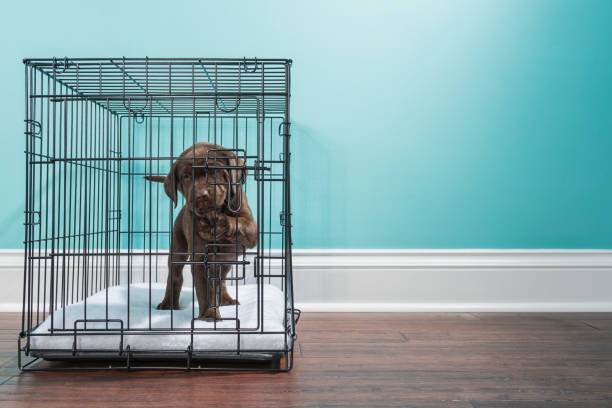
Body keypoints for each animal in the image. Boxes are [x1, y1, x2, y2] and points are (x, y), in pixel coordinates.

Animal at [147, 143, 256, 318]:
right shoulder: (199, 257)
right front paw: (209, 316)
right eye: (186, 176)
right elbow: (205, 289)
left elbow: (239, 223)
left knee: (221, 280)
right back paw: (168, 304)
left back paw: (225, 299)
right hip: (178, 245)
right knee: (175, 274)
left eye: (214, 171)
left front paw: (218, 222)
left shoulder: (251, 229)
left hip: (228, 259)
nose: (201, 195)